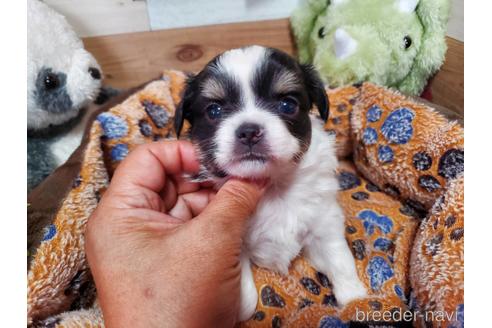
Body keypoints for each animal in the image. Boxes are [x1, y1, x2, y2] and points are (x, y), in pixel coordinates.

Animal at [175, 45, 368, 320]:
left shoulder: (324, 223)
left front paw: (355, 298)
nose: (249, 131)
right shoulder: (233, 245)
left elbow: (339, 257)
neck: (275, 186)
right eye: (214, 111)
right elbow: (245, 295)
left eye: (287, 104)